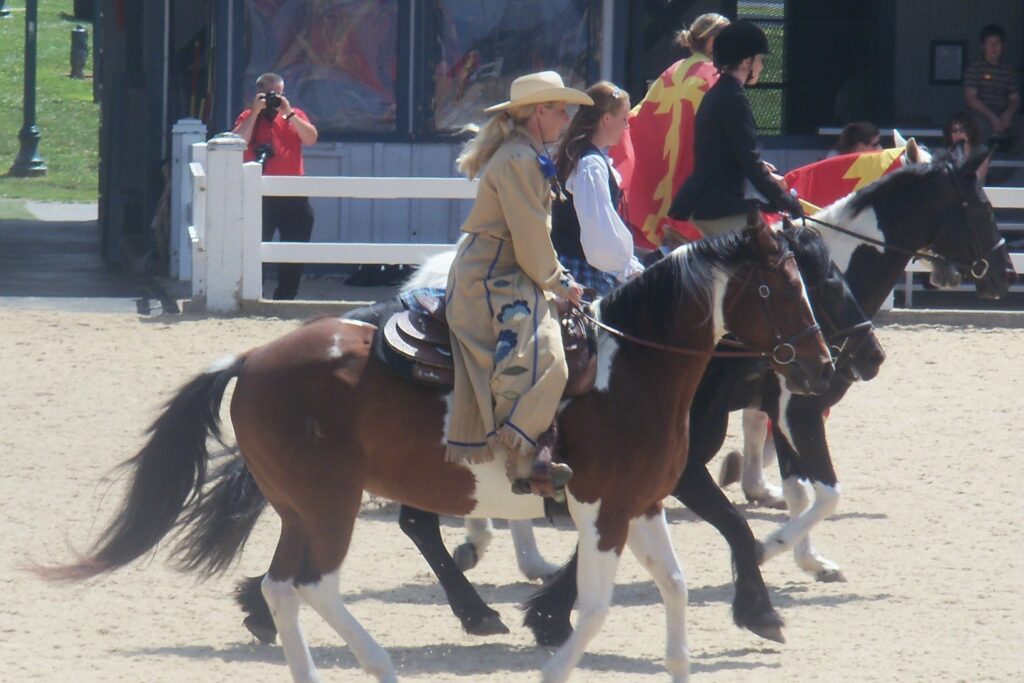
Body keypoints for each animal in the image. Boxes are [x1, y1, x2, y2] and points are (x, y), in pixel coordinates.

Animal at [44, 223, 835, 683]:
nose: (824, 365)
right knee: (314, 584)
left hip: (303, 507)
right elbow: (597, 606)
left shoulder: (641, 506)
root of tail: (253, 357)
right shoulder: (602, 511)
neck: (629, 371)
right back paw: (388, 660)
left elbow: (673, 585)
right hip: (329, 505)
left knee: (282, 587)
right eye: (780, 286)